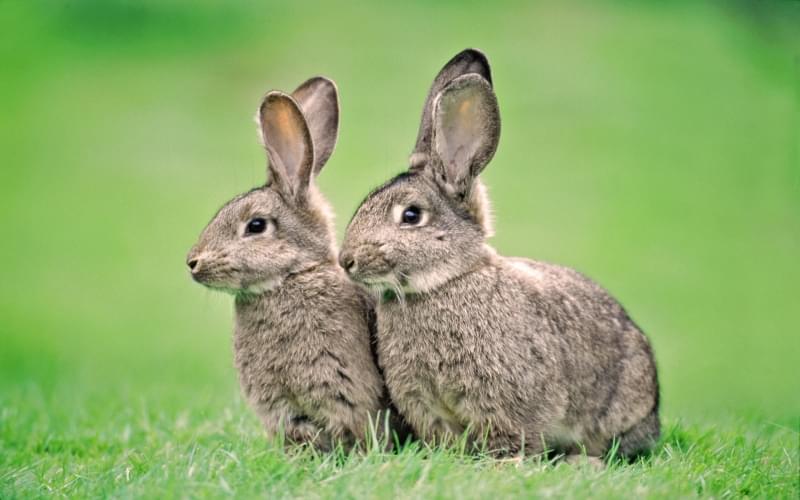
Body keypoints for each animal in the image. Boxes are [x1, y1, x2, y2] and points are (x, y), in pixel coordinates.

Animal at [338, 50, 656, 460]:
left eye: (411, 216)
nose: (347, 260)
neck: (446, 282)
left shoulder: (505, 397)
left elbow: (510, 435)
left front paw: (504, 463)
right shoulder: (424, 402)